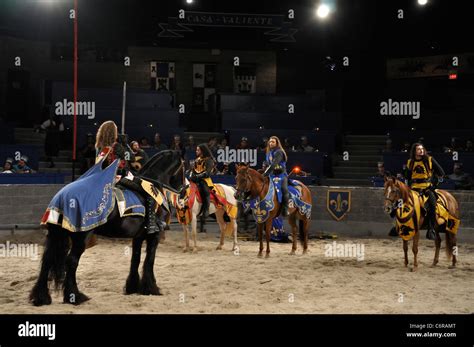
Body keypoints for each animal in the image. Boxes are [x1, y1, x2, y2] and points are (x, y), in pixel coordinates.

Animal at [30, 151, 183, 306]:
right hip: (81, 237)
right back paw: (75, 296)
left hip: (56, 234)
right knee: (71, 261)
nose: (182, 192)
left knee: (47, 260)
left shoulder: (138, 236)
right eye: (184, 167)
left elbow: (136, 258)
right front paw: (151, 288)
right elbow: (149, 260)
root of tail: (62, 198)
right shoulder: (154, 236)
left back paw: (41, 298)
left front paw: (132, 288)